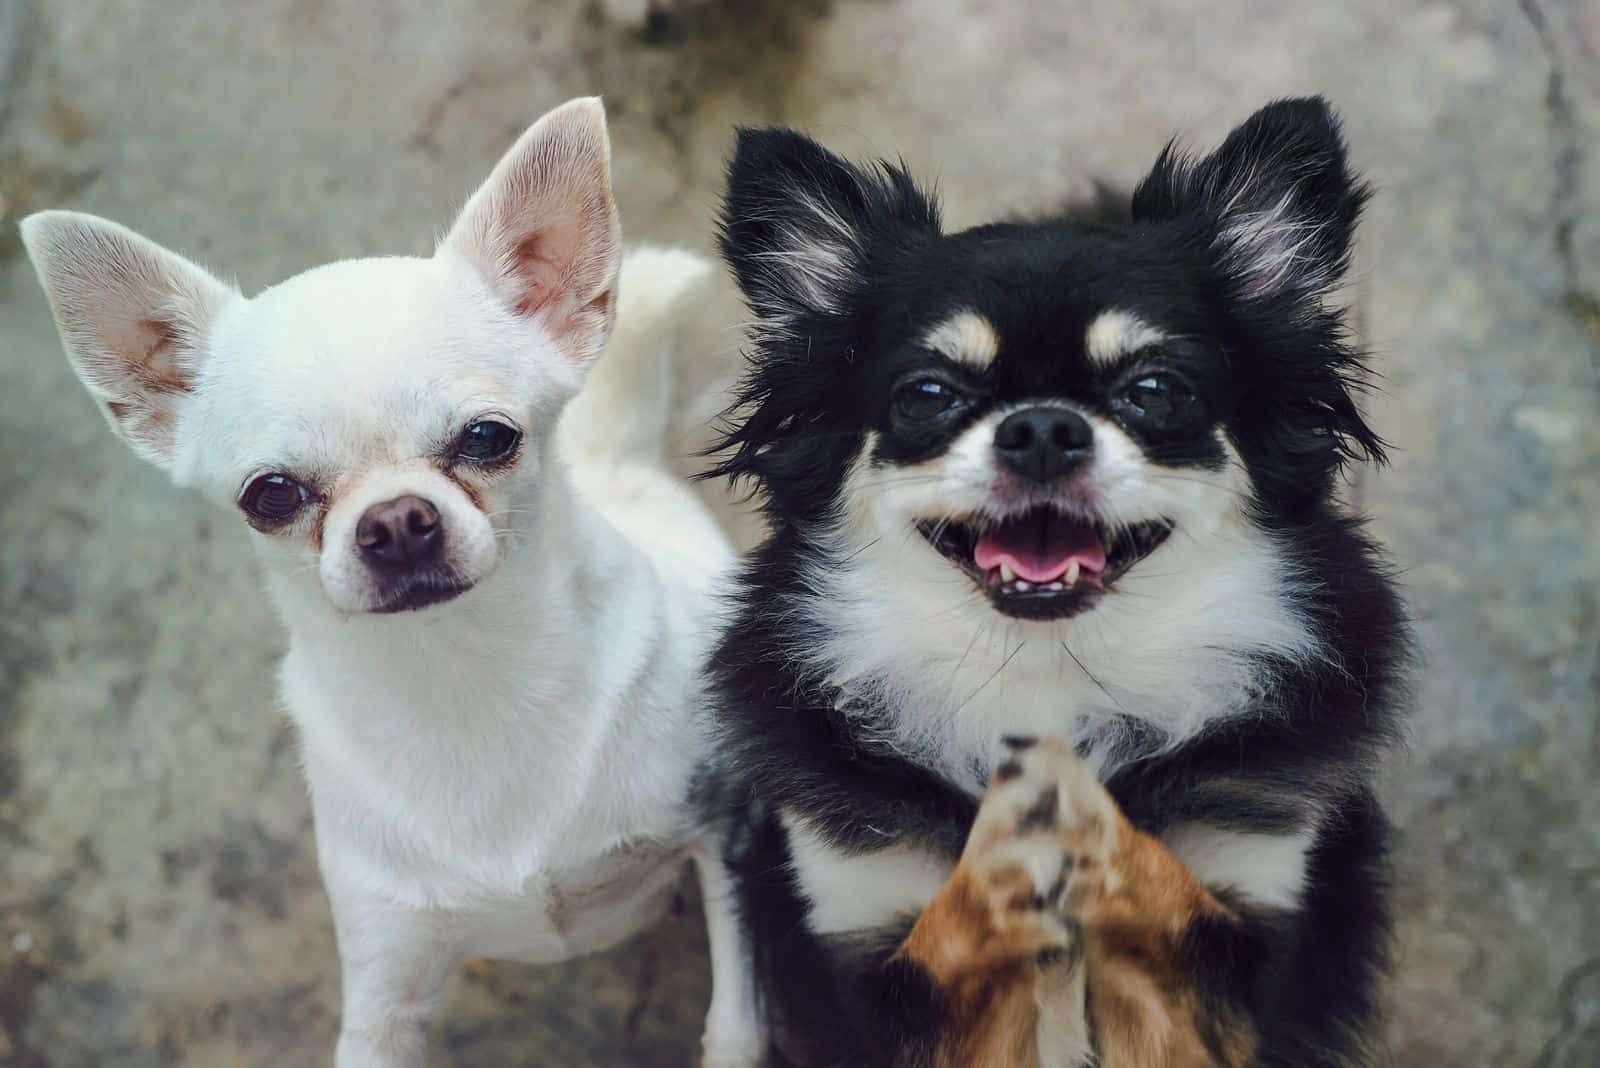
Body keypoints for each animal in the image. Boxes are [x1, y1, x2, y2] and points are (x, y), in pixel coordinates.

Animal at [20, 95, 761, 1061]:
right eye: (271, 495)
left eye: (489, 437)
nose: (397, 522)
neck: (465, 675)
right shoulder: (386, 980)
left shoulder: (728, 840)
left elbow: (737, 1020)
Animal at [707, 95, 1408, 1061]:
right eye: (927, 396)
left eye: (1156, 390)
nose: (1041, 427)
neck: (1045, 669)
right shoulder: (868, 942)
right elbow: (949, 919)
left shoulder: (1239, 939)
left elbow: (1164, 884)